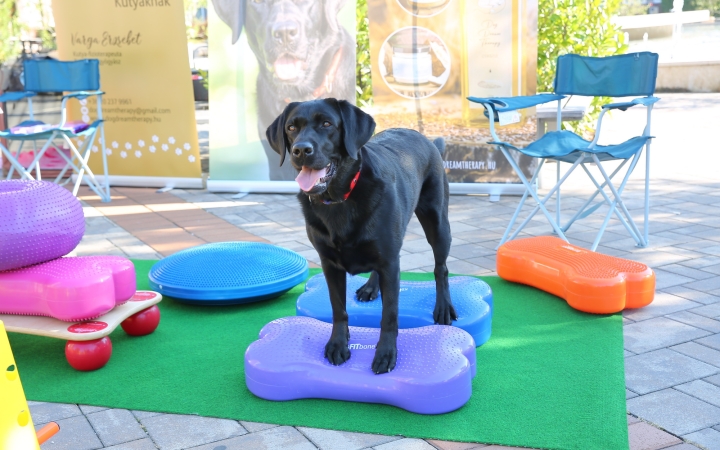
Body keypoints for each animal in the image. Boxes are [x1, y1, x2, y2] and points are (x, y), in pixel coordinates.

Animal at [264, 98, 456, 372]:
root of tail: (426, 139)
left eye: (327, 124)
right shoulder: (330, 264)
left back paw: (443, 307)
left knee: (441, 268)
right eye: (291, 128)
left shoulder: (390, 261)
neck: (339, 200)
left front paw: (386, 353)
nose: (301, 150)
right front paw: (338, 344)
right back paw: (371, 287)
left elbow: (389, 314)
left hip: (437, 223)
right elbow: (338, 308)